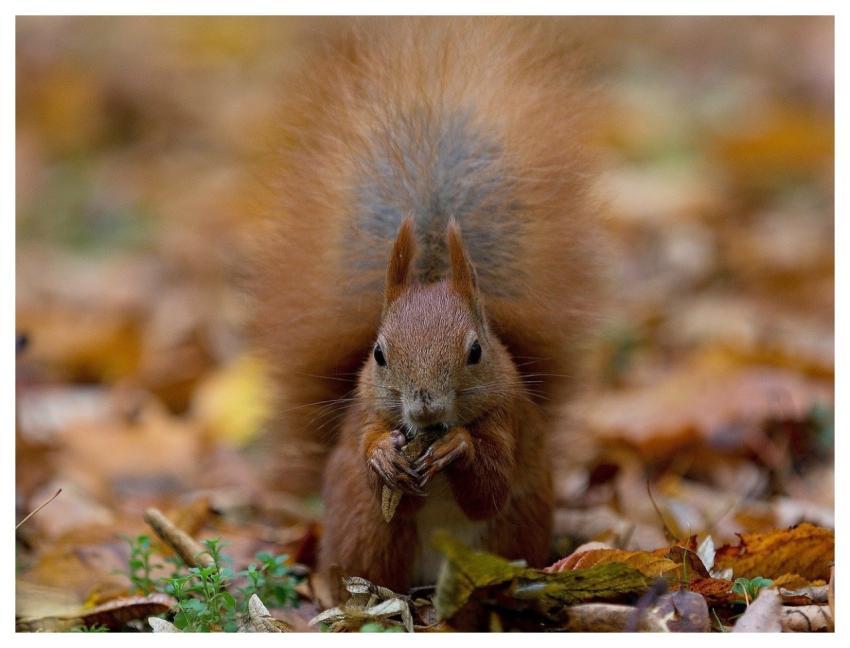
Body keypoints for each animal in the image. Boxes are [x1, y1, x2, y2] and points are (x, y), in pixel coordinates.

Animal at [250, 17, 603, 594]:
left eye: (477, 351)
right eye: (378, 354)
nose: (424, 406)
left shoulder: (508, 419)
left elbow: (490, 487)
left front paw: (459, 446)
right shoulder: (366, 415)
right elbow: (372, 451)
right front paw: (382, 456)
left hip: (512, 530)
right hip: (369, 530)